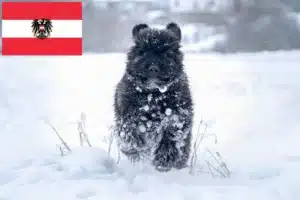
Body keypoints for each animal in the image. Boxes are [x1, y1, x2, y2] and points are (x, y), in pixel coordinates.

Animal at [113, 22, 193, 172]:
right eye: (142, 51)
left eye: (167, 53)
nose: (153, 68)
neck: (153, 95)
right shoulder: (126, 112)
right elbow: (129, 132)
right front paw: (135, 147)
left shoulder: (178, 117)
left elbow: (170, 137)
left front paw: (164, 159)